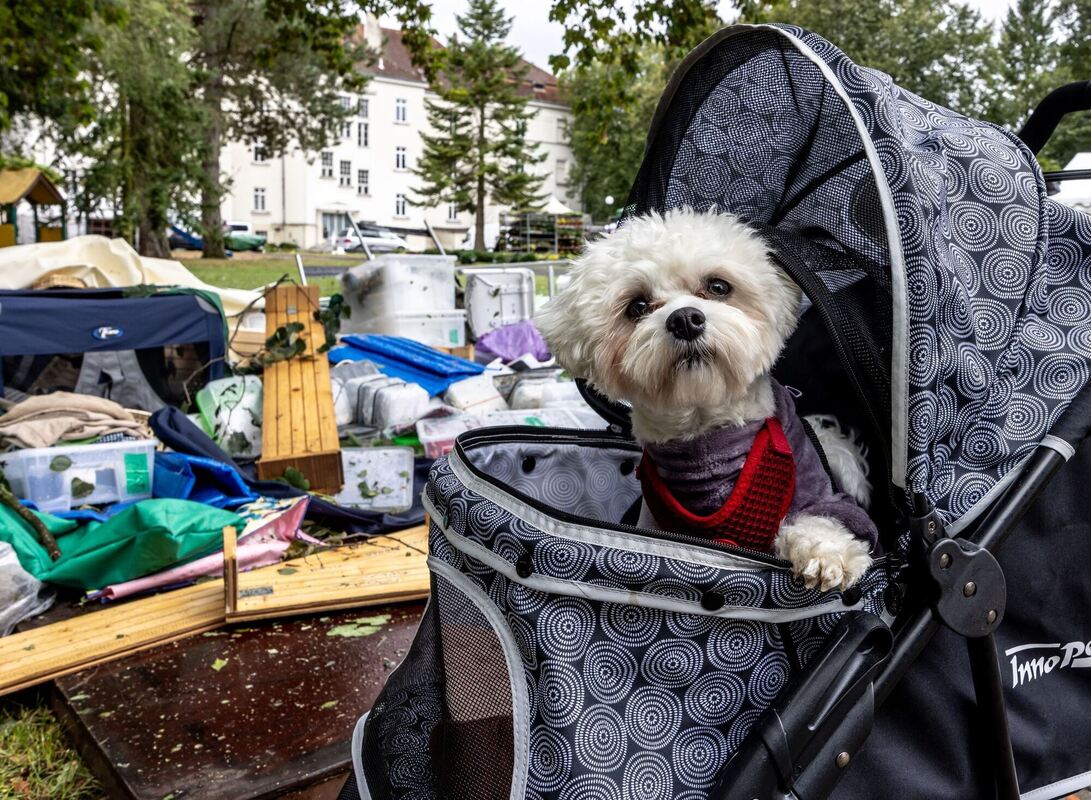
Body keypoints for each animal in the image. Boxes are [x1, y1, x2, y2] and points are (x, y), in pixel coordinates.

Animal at [536, 209, 877, 589]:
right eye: (637, 306)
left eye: (717, 287)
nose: (685, 319)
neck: (707, 441)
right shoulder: (654, 522)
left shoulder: (817, 490)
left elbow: (825, 518)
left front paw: (826, 552)